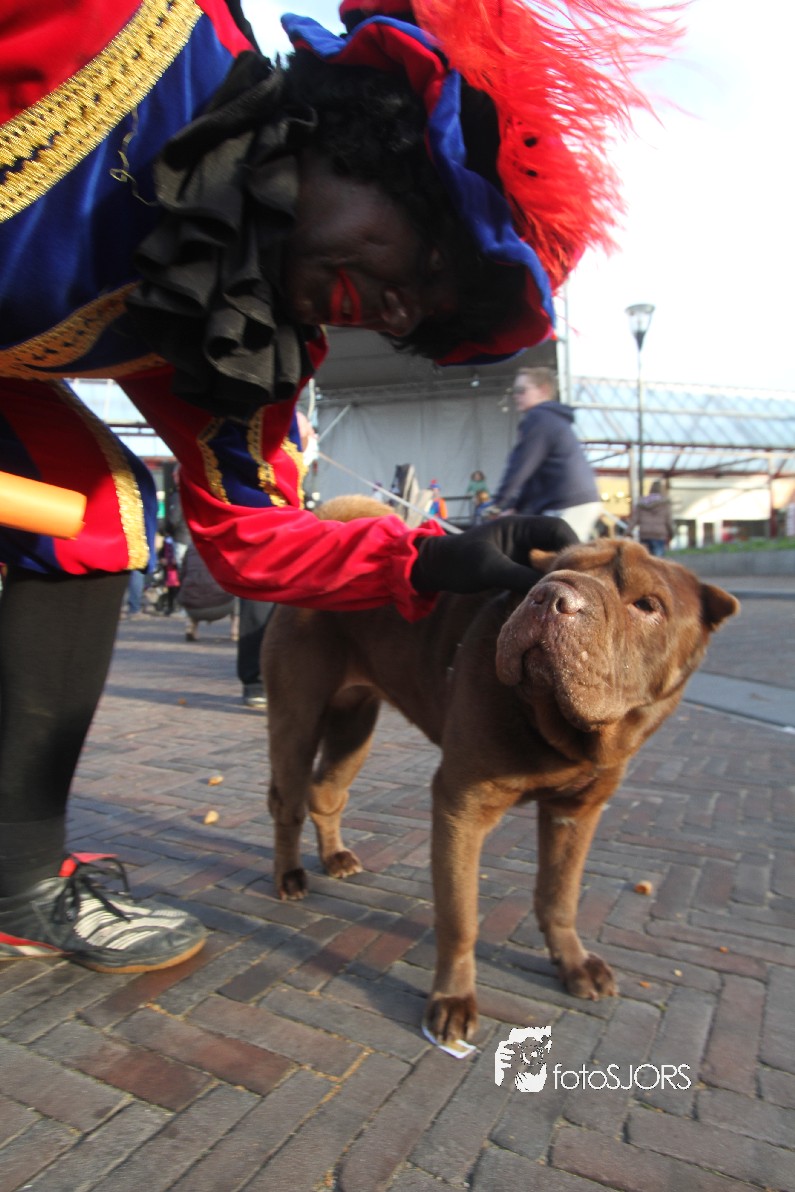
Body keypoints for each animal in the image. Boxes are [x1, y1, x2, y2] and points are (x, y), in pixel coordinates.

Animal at [262, 496, 739, 1042]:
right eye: (548, 574)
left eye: (648, 605)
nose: (550, 595)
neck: (560, 730)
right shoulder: (462, 803)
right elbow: (459, 915)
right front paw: (453, 998)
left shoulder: (577, 811)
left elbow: (559, 895)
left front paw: (573, 963)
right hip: (298, 715)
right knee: (288, 800)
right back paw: (290, 875)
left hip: (354, 725)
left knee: (327, 790)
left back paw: (335, 856)